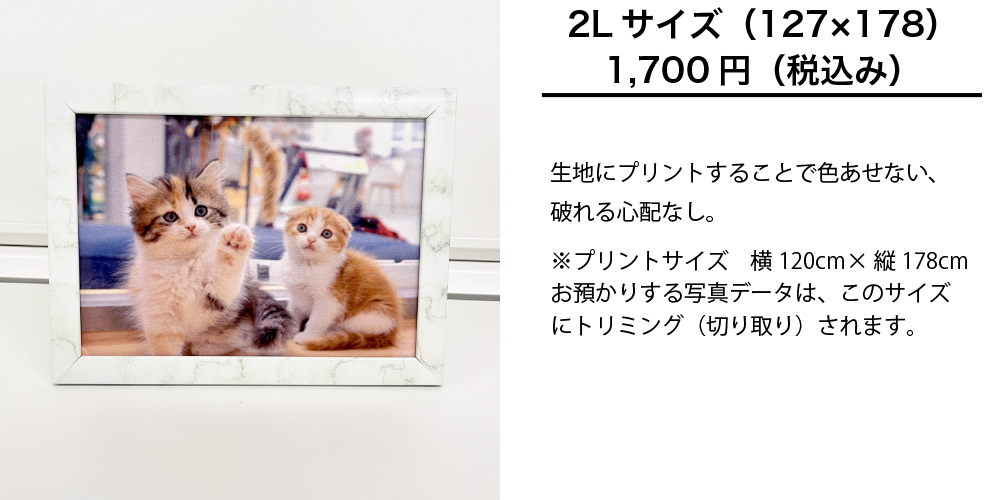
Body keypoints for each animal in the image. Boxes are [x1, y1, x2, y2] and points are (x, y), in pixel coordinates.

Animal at [123, 160, 294, 355]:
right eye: (170, 216)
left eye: (201, 211)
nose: (190, 226)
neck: (187, 262)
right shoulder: (159, 315)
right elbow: (165, 350)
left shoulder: (211, 306)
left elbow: (223, 281)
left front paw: (234, 243)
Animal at [279, 206, 402, 350]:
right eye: (301, 227)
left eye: (327, 234)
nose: (311, 239)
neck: (306, 265)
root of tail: (392, 332)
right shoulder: (295, 295)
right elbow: (293, 311)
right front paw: (289, 330)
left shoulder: (330, 301)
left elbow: (317, 320)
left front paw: (307, 336)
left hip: (369, 316)